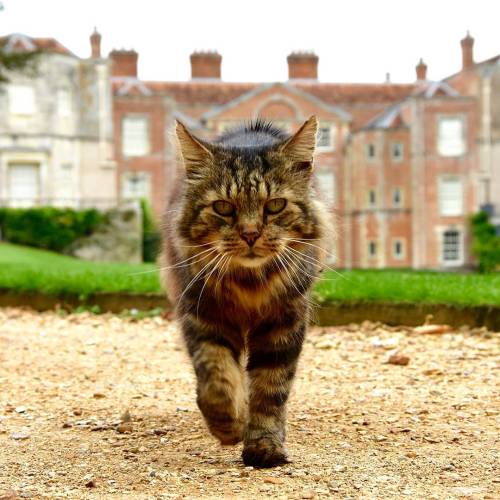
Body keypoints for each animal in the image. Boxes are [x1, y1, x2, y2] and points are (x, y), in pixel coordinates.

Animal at [162, 117, 330, 468]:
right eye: (224, 208)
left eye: (275, 205)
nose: (250, 234)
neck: (249, 282)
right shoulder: (202, 313)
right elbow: (216, 376)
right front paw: (228, 425)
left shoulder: (284, 321)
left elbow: (270, 389)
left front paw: (264, 446)